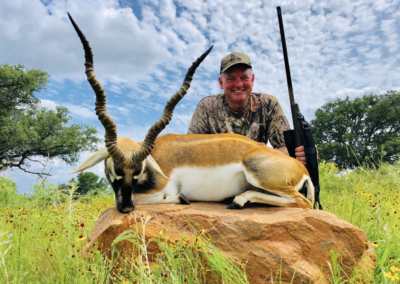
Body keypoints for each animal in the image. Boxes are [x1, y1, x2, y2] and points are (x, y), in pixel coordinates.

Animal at [67, 13, 314, 213]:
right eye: (113, 170)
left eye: (138, 172)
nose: (126, 208)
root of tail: (302, 169)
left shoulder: (159, 190)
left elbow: (164, 197)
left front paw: (183, 199)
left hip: (261, 175)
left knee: (304, 202)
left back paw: (238, 200)